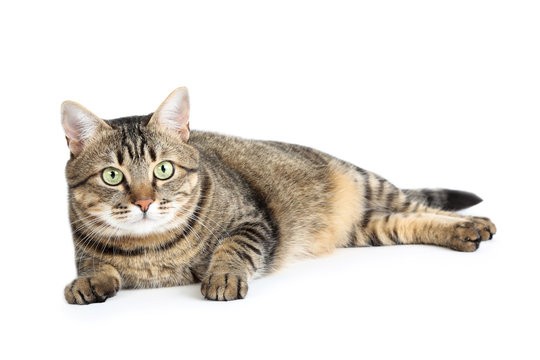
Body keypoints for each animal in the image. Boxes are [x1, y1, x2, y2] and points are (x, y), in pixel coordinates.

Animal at [61, 86, 496, 304]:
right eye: (112, 176)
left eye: (163, 170)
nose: (144, 202)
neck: (153, 247)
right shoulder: (83, 249)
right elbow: (92, 265)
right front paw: (88, 282)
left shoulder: (253, 222)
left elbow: (232, 247)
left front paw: (222, 275)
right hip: (368, 228)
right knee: (409, 221)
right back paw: (464, 233)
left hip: (370, 183)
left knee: (422, 205)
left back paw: (476, 223)